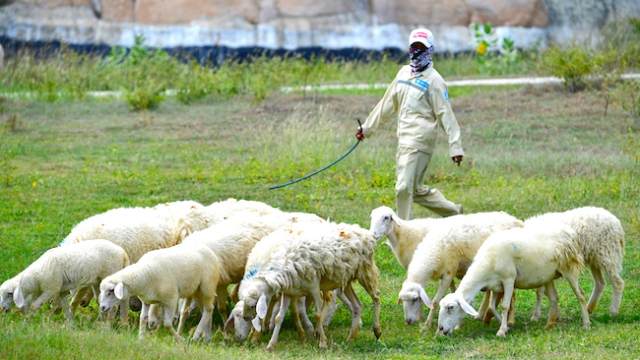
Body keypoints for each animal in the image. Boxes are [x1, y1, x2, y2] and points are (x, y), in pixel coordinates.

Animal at [239, 221, 380, 350]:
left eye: (253, 305)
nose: (245, 317)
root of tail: (363, 232)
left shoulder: (314, 288)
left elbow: (317, 315)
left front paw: (323, 342)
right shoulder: (289, 293)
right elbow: (279, 317)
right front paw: (271, 345)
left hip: (365, 270)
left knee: (376, 296)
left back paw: (377, 330)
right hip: (347, 278)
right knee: (357, 305)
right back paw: (351, 338)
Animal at [436, 219, 592, 338]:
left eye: (450, 307)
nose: (441, 329)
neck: (486, 263)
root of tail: (570, 232)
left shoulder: (509, 280)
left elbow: (505, 306)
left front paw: (501, 331)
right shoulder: (495, 285)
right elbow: (492, 307)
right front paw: (505, 326)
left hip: (569, 268)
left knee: (581, 295)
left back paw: (586, 324)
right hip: (549, 276)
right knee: (554, 298)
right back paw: (549, 325)